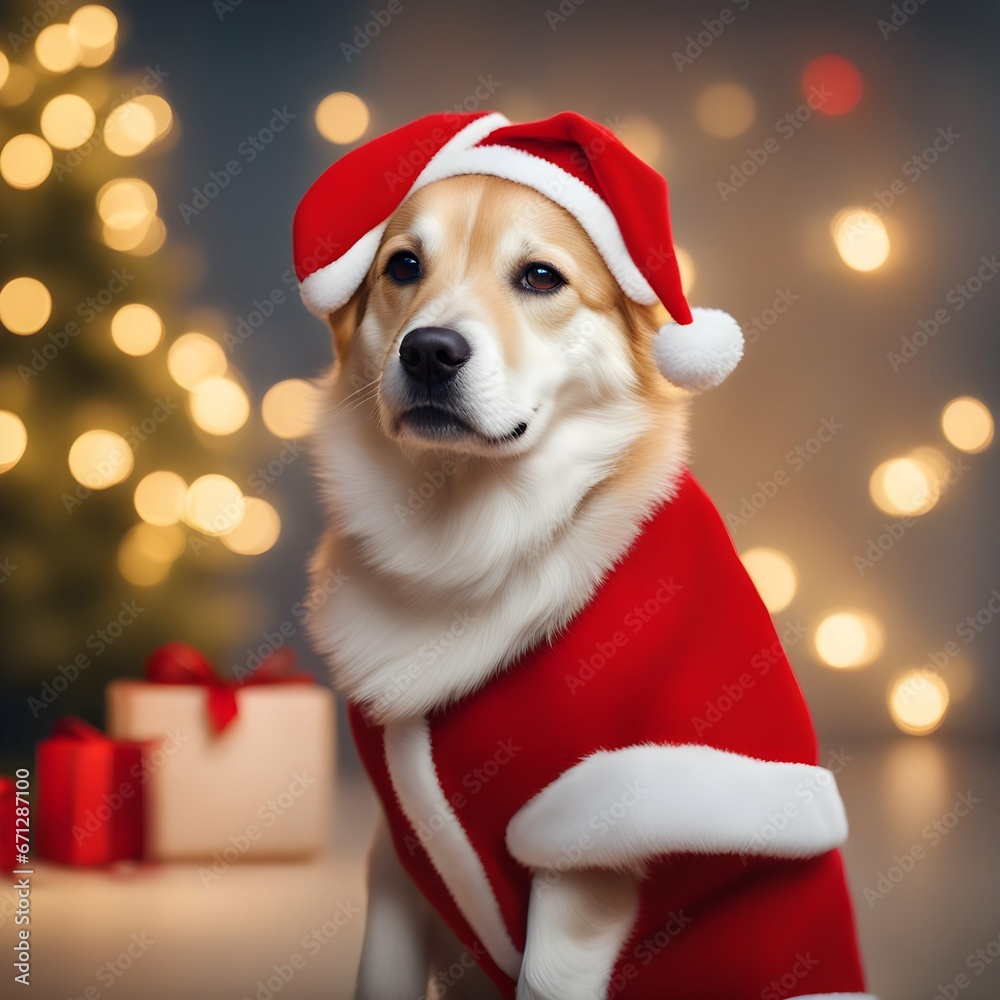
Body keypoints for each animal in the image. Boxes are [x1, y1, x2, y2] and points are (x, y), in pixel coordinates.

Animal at [294, 109, 868, 1000]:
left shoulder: (586, 851)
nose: (428, 351)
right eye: (403, 266)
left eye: (539, 277)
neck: (467, 537)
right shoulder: (396, 857)